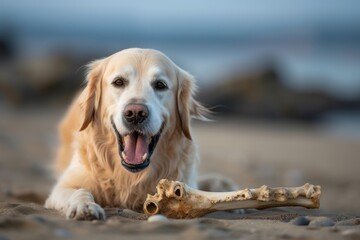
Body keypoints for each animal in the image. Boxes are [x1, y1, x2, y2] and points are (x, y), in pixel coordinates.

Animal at [45, 48, 210, 219]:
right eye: (118, 82)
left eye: (160, 85)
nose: (136, 113)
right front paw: (85, 206)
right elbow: (80, 191)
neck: (130, 176)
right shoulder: (63, 186)